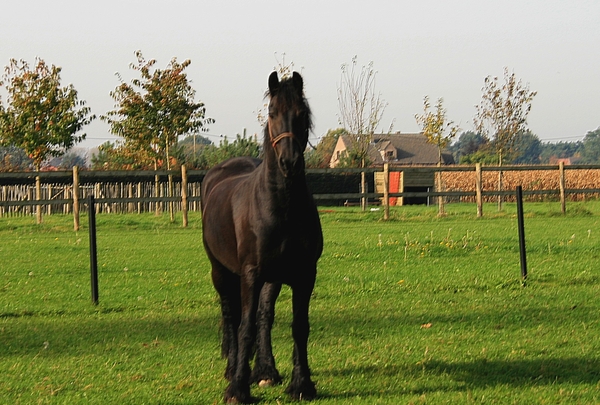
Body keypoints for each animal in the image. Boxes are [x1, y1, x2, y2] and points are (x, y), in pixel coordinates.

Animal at [202, 71, 324, 402]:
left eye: (302, 113)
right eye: (272, 113)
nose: (289, 163)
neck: (281, 206)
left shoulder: (303, 274)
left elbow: (298, 326)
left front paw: (301, 384)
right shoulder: (250, 273)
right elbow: (244, 327)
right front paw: (237, 389)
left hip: (273, 278)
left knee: (263, 316)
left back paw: (265, 370)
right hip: (222, 272)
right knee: (232, 317)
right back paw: (234, 368)